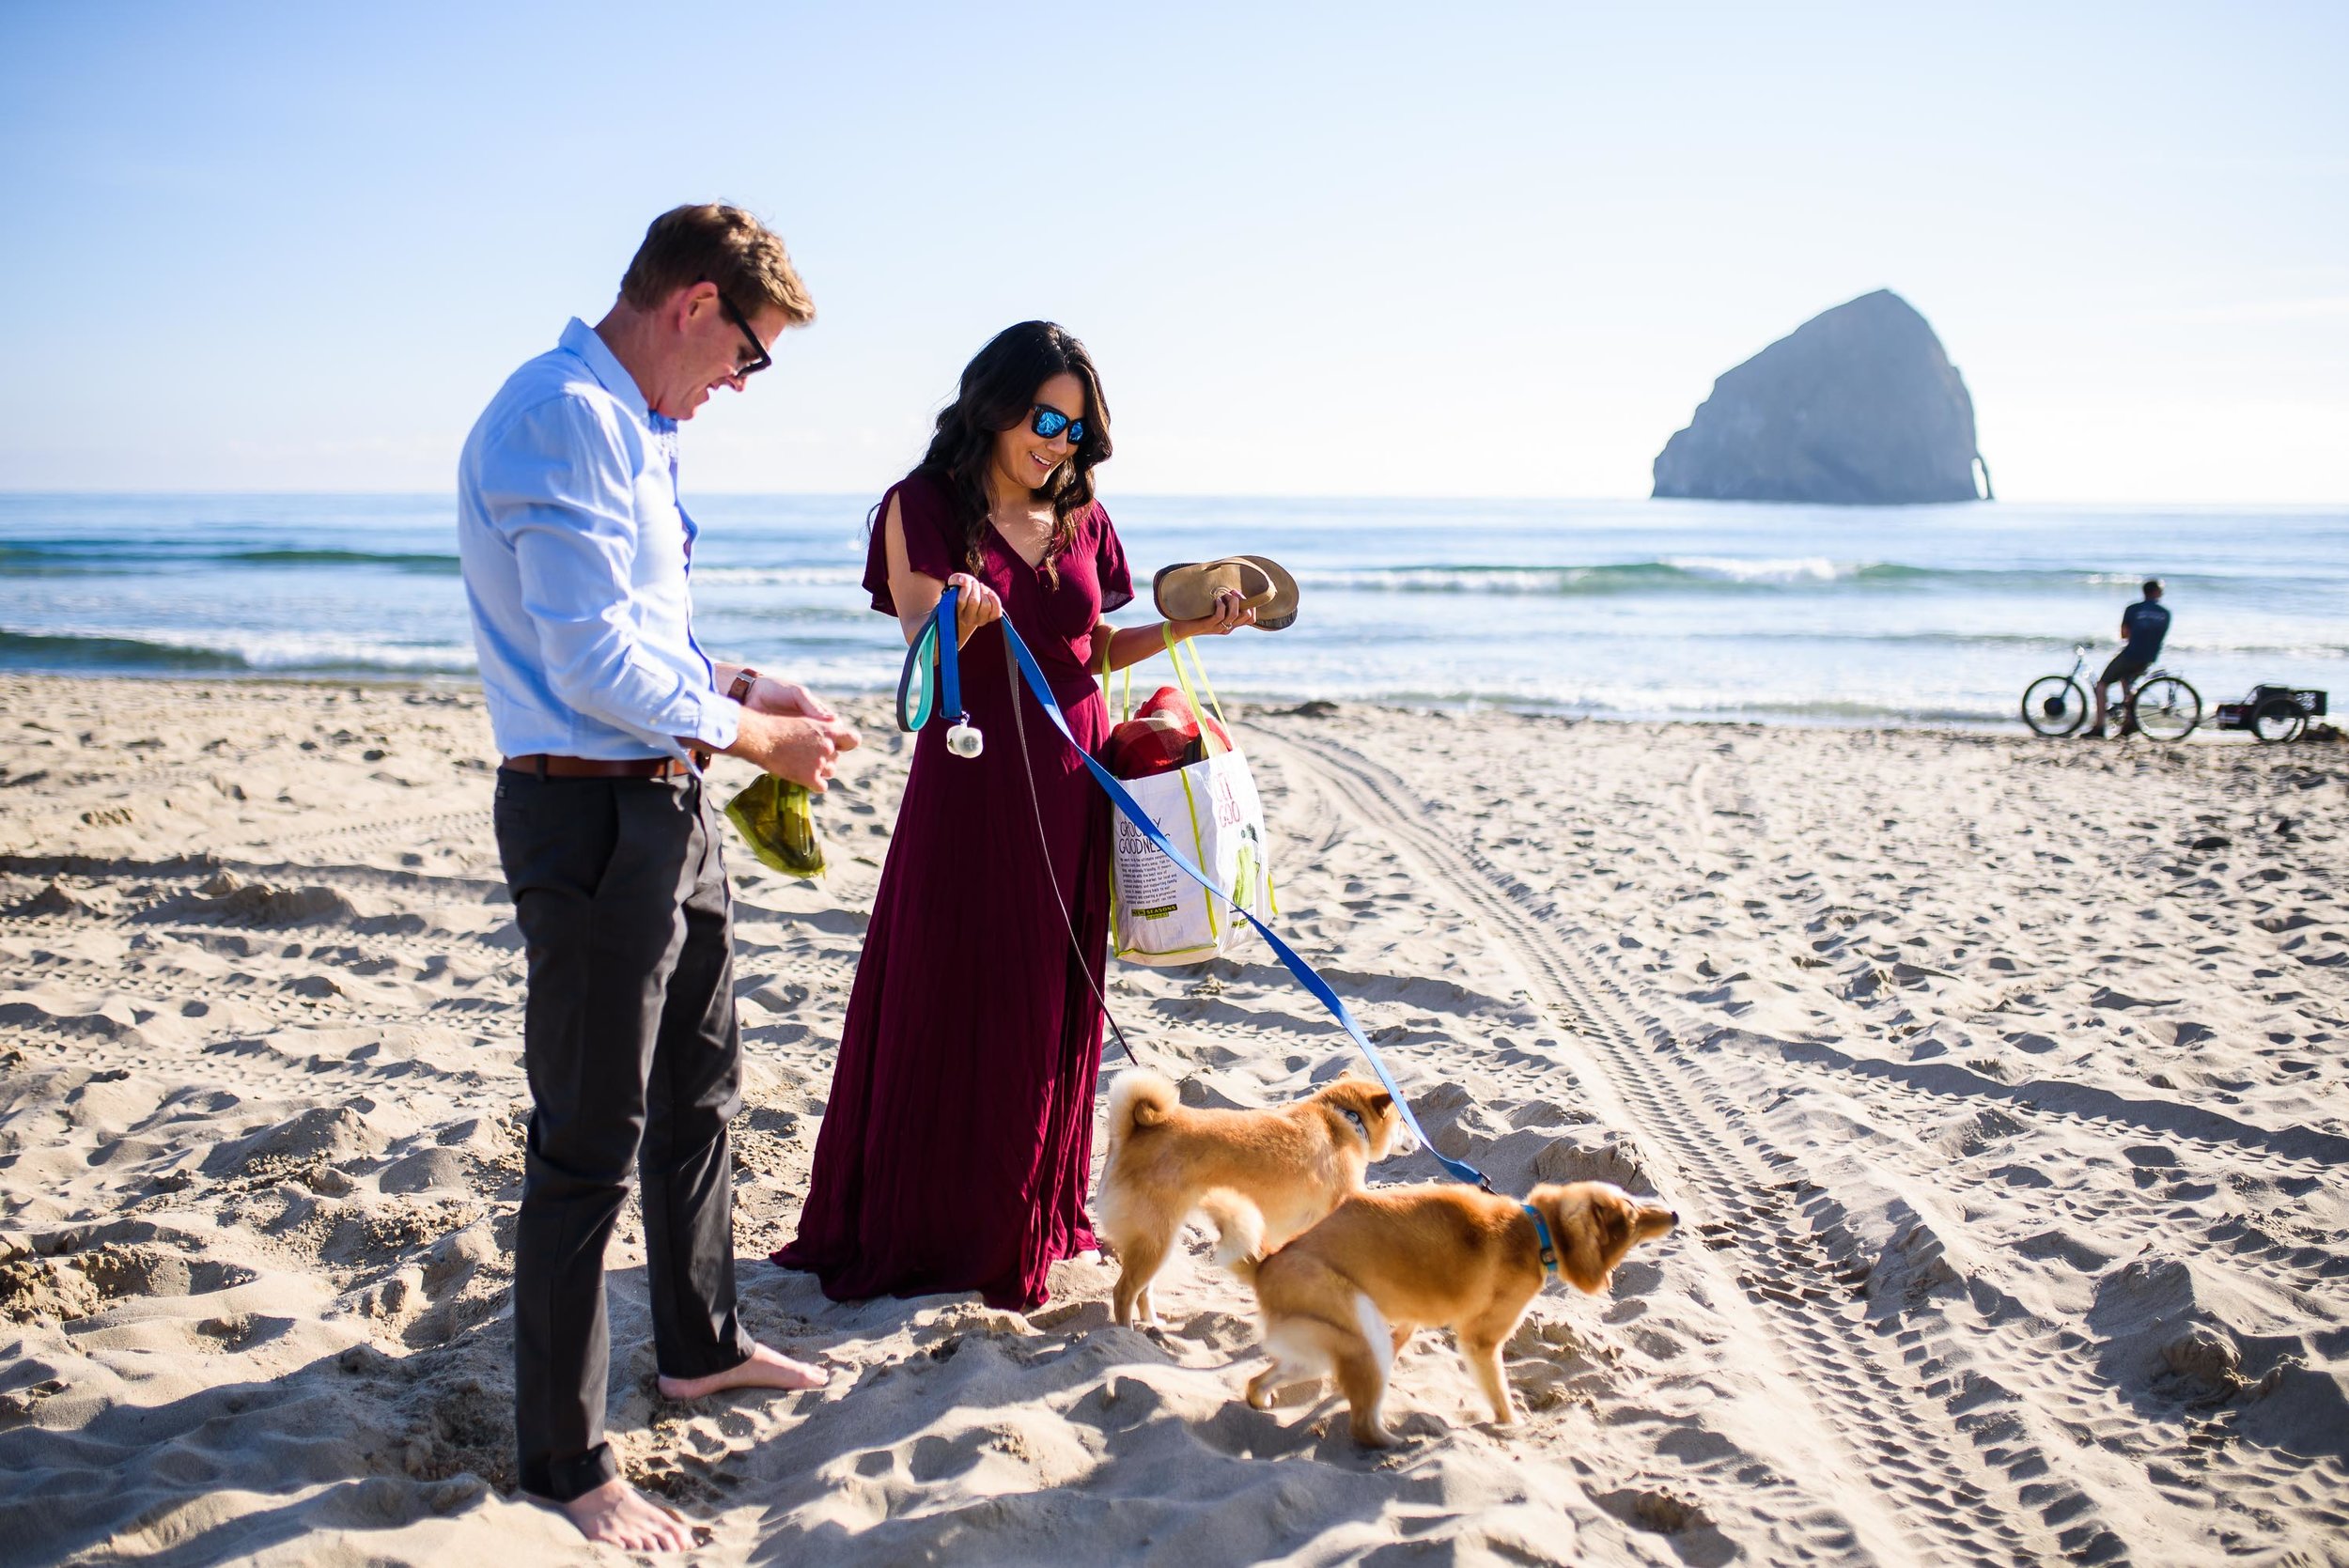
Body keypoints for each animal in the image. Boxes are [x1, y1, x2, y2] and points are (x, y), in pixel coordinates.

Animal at [1095, 1065, 1409, 1324]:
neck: (1342, 1119)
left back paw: (1152, 1328)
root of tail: (1131, 1133)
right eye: (1403, 1120)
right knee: (1123, 1292)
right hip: (1155, 1243)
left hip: (1158, 1243)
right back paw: (1126, 1335)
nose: (1415, 1136)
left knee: (1142, 1292)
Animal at [1212, 1173, 1672, 1446]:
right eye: (1631, 1214)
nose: (1674, 1213)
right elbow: (1500, 1396)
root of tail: (1266, 1264)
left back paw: (1265, 1399)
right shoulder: (1481, 1342)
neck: (1535, 1231)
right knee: (1362, 1427)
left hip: (1320, 1350)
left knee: (1258, 1380)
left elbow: (1406, 1333)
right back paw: (1401, 1444)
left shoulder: (1412, 1320)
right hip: (1362, 1339)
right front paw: (1512, 1427)